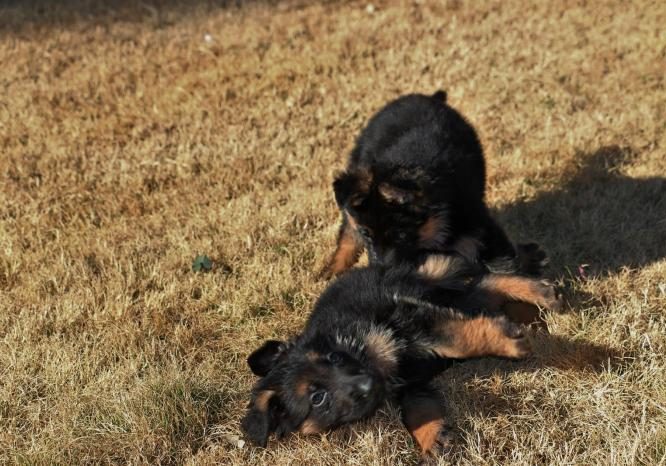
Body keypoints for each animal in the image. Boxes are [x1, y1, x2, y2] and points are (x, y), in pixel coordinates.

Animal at [241, 256, 556, 460]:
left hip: (435, 294)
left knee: (484, 282)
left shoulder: (407, 319)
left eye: (334, 358)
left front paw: (505, 341)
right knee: (483, 288)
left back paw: (538, 292)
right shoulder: (410, 383)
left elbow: (458, 339)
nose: (366, 385)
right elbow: (416, 409)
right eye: (317, 399)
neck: (360, 351)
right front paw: (432, 438)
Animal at [322, 91, 544, 280]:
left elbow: (504, 265)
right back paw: (333, 269)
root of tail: (426, 97)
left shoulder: (481, 229)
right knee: (347, 232)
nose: (381, 273)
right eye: (366, 233)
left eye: (401, 234)